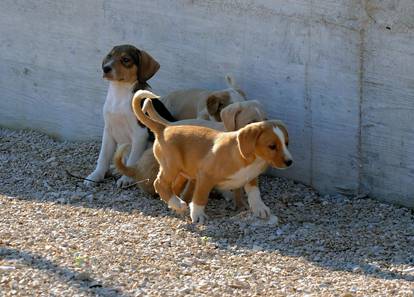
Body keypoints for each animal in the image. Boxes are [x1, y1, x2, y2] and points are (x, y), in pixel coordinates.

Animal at [84, 43, 175, 186]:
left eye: (126, 59)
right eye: (109, 56)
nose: (105, 68)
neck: (120, 92)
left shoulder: (140, 134)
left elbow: (133, 160)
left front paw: (126, 178)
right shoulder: (108, 131)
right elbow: (103, 157)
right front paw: (95, 176)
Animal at [128, 89, 292, 222]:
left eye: (286, 143)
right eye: (272, 146)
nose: (289, 162)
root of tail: (165, 127)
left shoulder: (250, 176)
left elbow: (253, 193)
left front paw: (258, 208)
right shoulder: (205, 176)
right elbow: (201, 196)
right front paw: (198, 215)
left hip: (182, 172)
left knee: (174, 187)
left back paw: (176, 205)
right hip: (171, 165)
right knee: (159, 183)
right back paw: (178, 204)